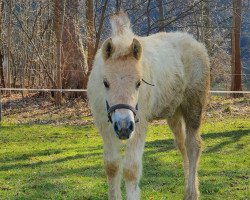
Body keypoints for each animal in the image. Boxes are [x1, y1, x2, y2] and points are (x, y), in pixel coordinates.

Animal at [87, 12, 210, 200]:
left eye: (139, 83)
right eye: (105, 82)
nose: (124, 126)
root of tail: (197, 44)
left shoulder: (139, 125)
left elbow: (131, 169)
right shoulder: (104, 126)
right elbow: (112, 166)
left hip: (193, 106)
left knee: (193, 146)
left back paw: (192, 193)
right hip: (174, 113)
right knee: (182, 145)